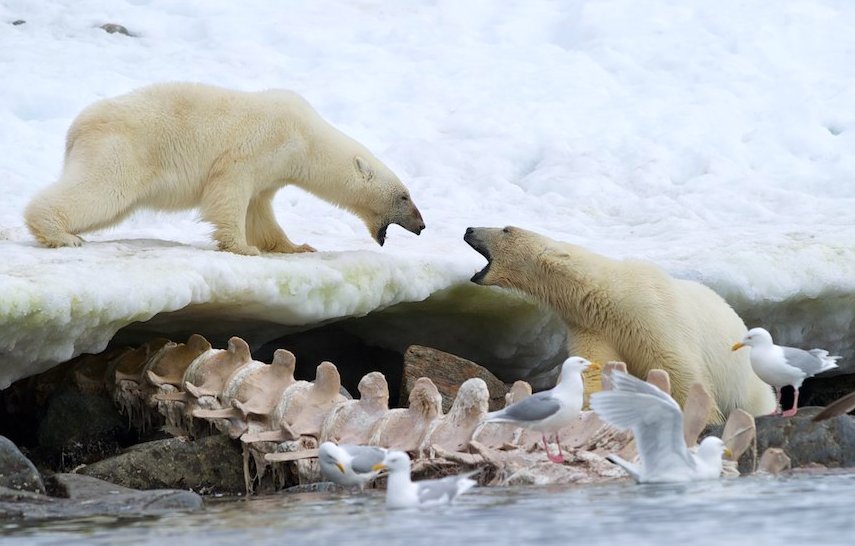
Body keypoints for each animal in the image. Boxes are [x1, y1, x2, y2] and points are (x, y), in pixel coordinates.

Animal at [25, 81, 426, 255]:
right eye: (404, 196)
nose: (422, 226)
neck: (306, 137)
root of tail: (77, 128)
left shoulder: (272, 171)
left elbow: (259, 210)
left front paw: (296, 246)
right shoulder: (261, 144)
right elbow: (230, 188)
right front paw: (242, 247)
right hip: (123, 149)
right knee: (101, 191)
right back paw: (61, 235)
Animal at [464, 224, 780, 420]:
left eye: (506, 229)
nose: (469, 229)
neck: (610, 293)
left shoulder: (653, 313)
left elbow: (678, 368)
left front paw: (706, 417)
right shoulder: (593, 326)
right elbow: (595, 366)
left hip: (744, 380)